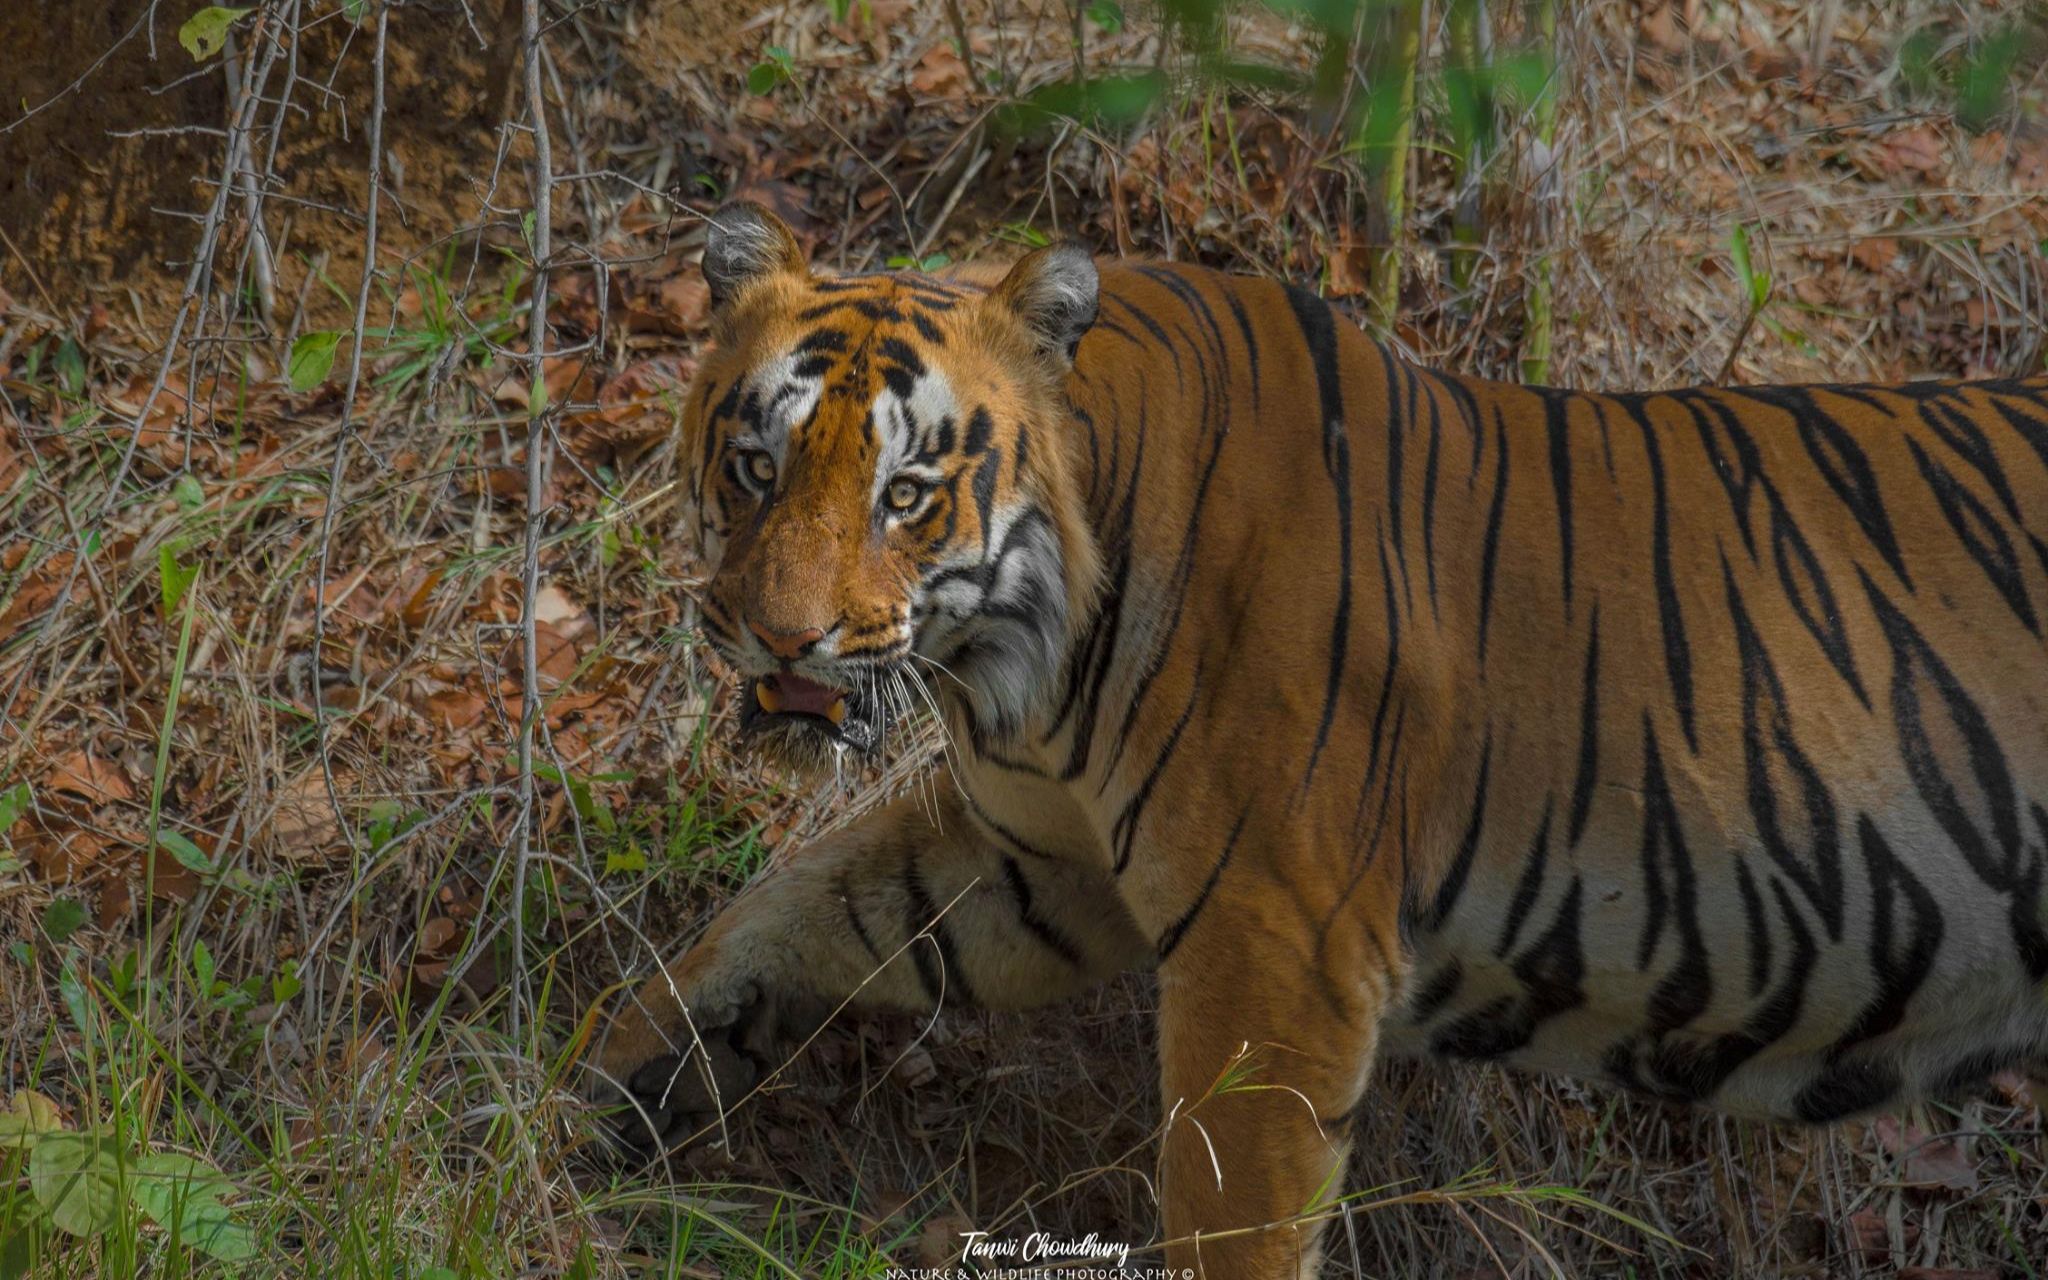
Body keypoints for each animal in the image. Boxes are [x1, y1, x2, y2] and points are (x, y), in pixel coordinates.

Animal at [589, 201, 2048, 1277]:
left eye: (905, 494)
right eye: (757, 467)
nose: (782, 641)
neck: (1022, 668)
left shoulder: (1275, 944)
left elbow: (1228, 1213)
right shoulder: (1039, 864)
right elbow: (792, 913)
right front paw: (584, 1086)